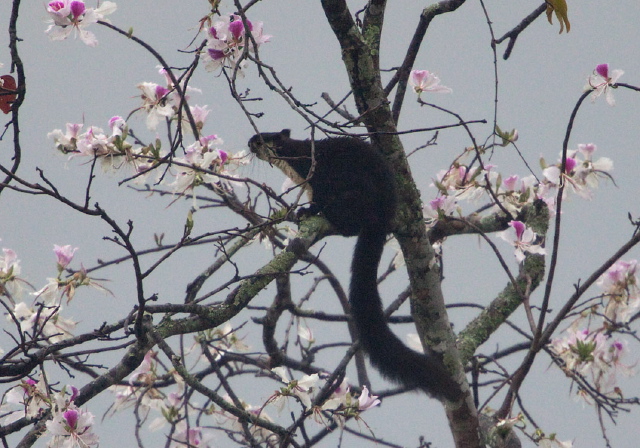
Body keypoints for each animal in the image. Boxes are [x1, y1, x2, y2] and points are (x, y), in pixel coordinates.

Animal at [246, 130, 460, 402]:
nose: (250, 142)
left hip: (354, 192)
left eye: (263, 137)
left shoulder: (317, 176)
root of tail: (382, 216)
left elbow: (318, 199)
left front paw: (306, 212)